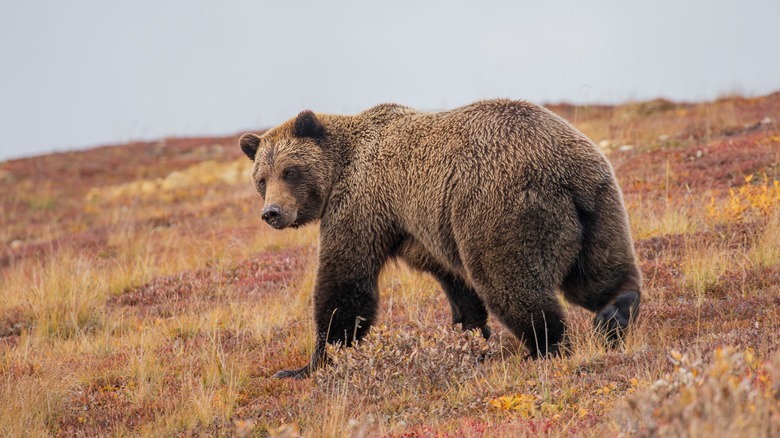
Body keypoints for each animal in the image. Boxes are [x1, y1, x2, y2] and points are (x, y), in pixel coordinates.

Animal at [238, 98, 640, 376]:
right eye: (261, 178)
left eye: (290, 171)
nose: (272, 212)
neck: (342, 165)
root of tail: (567, 170)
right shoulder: (424, 229)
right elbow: (456, 283)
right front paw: (469, 336)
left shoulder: (360, 205)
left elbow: (345, 283)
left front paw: (310, 364)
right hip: (599, 207)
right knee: (598, 273)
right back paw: (615, 312)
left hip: (499, 208)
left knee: (510, 282)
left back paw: (544, 348)